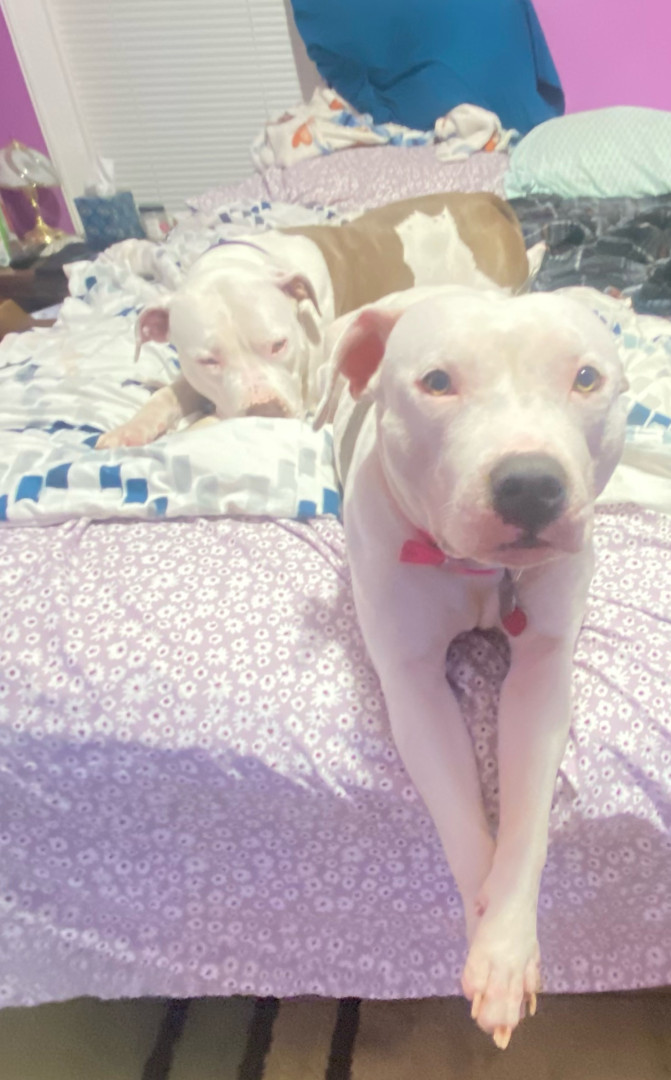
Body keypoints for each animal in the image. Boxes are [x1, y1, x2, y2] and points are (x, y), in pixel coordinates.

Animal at [95, 193, 532, 449]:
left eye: (279, 344)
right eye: (208, 361)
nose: (266, 410)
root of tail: (484, 200)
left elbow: (209, 422)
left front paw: (183, 433)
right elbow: (166, 395)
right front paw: (129, 429)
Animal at [314, 286, 628, 1047]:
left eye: (584, 378)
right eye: (437, 382)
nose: (530, 485)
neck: (480, 572)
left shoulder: (542, 675)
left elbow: (525, 823)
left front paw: (506, 947)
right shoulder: (413, 688)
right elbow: (462, 820)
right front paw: (486, 935)